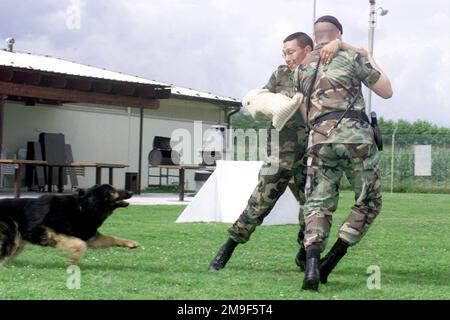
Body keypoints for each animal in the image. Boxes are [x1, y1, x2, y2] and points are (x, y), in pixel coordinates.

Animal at [0, 184, 139, 266]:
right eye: (112, 191)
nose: (131, 191)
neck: (83, 207)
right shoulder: (52, 232)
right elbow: (81, 245)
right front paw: (73, 260)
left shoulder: (91, 237)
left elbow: (112, 238)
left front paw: (131, 243)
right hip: (12, 235)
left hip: (18, 243)